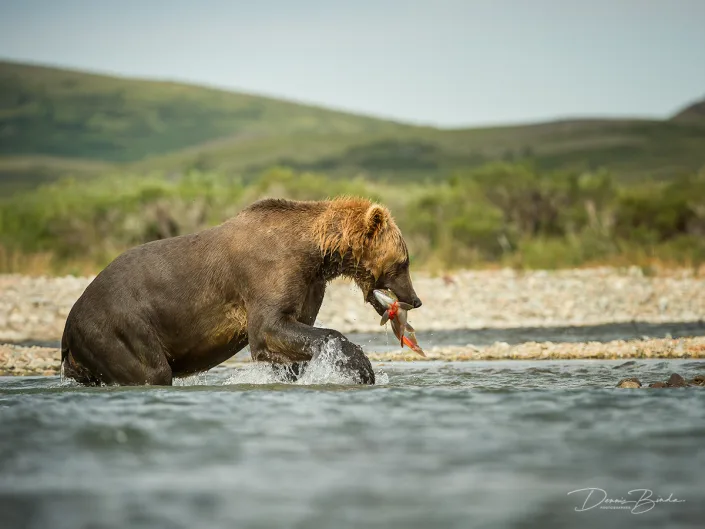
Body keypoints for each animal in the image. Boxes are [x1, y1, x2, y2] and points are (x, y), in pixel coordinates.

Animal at [61, 197, 422, 386]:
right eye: (403, 262)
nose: (415, 300)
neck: (316, 252)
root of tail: (69, 325)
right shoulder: (269, 273)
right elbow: (269, 329)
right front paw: (361, 368)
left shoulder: (308, 285)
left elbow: (292, 335)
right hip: (121, 327)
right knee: (153, 371)